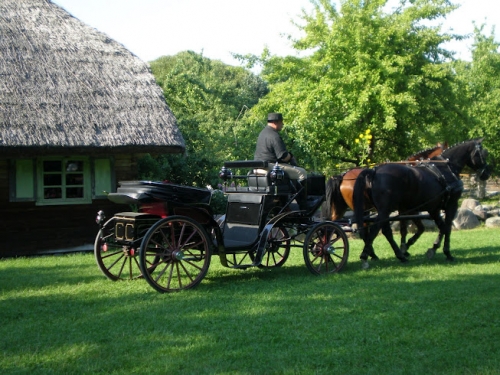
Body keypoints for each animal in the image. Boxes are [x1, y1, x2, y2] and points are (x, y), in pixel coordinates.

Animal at [354, 138, 490, 268]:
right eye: (484, 153)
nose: (487, 173)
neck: (446, 169)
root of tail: (375, 171)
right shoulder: (451, 205)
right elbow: (446, 228)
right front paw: (447, 253)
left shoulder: (432, 209)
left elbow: (438, 227)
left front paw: (432, 249)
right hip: (385, 210)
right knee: (376, 229)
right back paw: (365, 256)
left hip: (383, 210)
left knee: (385, 231)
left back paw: (398, 256)